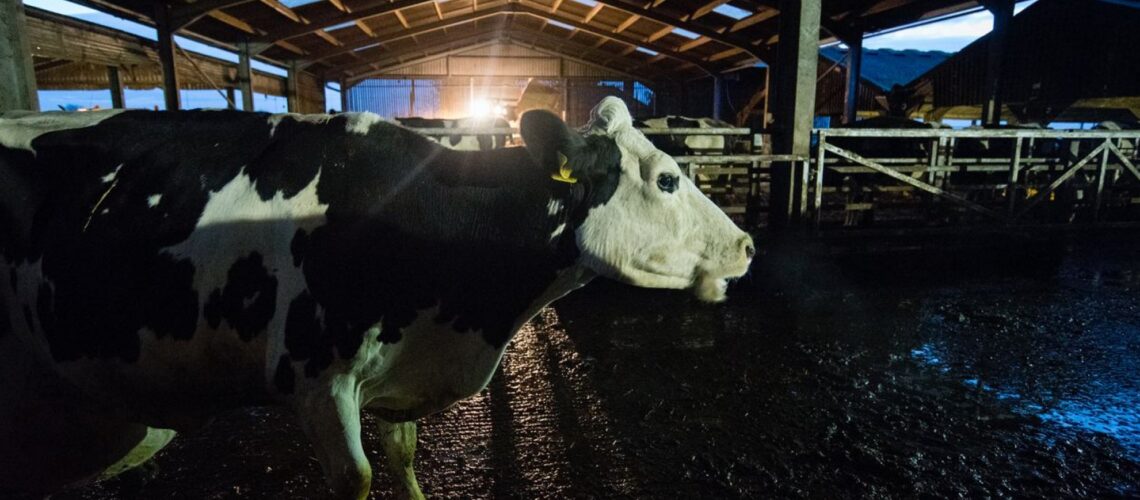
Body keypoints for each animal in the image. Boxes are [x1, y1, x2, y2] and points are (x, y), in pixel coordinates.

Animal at [0, 97, 753, 499]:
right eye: (666, 179)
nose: (747, 246)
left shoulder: (398, 377)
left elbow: (406, 458)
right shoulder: (316, 383)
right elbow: (359, 478)